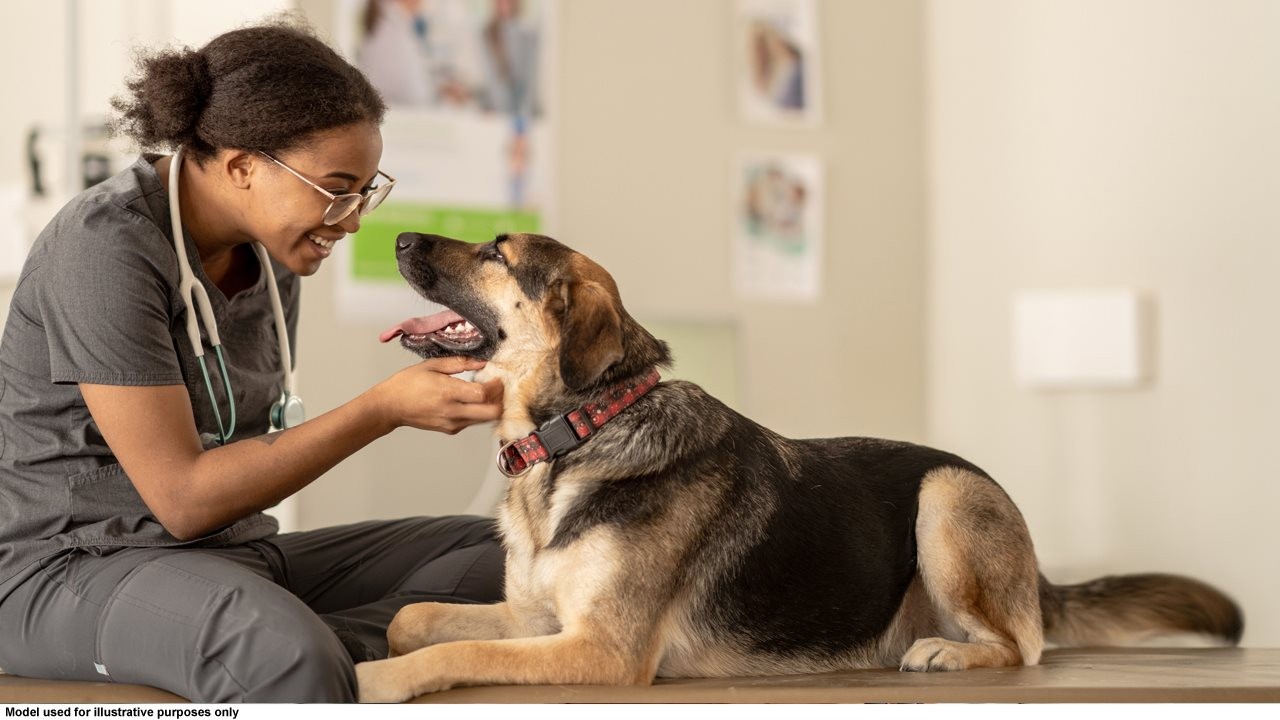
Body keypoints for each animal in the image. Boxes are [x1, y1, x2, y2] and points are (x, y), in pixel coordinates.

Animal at [355, 230, 1244, 702]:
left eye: (495, 254)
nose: (396, 236)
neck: (580, 433)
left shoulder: (603, 650)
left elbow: (456, 655)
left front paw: (376, 680)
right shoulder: (540, 621)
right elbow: (415, 619)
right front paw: (388, 647)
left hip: (946, 496)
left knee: (1022, 646)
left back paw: (950, 653)